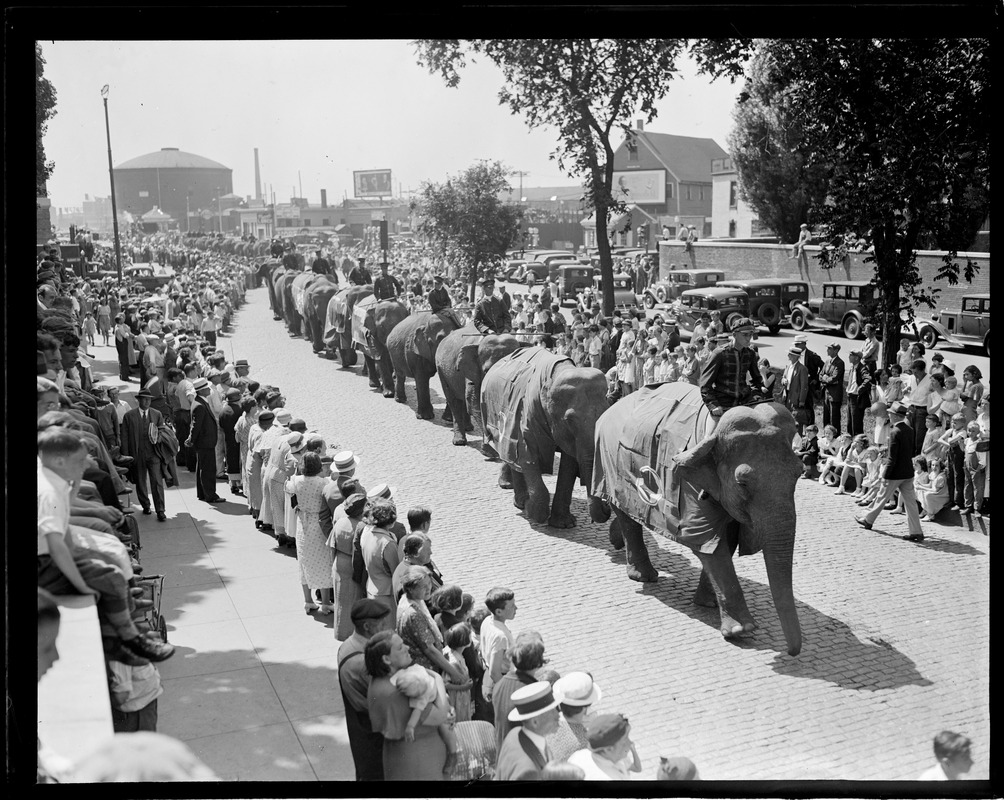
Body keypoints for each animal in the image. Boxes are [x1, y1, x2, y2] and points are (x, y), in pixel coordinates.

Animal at [479, 347, 606, 525]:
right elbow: (527, 455)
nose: (607, 507)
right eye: (570, 420)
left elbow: (569, 463)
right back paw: (518, 498)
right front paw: (532, 510)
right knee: (510, 452)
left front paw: (563, 524)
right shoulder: (528, 414)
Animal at [590, 381, 803, 654]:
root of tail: (613, 405)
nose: (791, 651)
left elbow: (726, 539)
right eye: (742, 483)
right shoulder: (691, 486)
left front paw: (709, 603)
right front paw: (741, 630)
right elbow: (706, 543)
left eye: (799, 473)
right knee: (626, 514)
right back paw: (644, 576)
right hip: (612, 465)